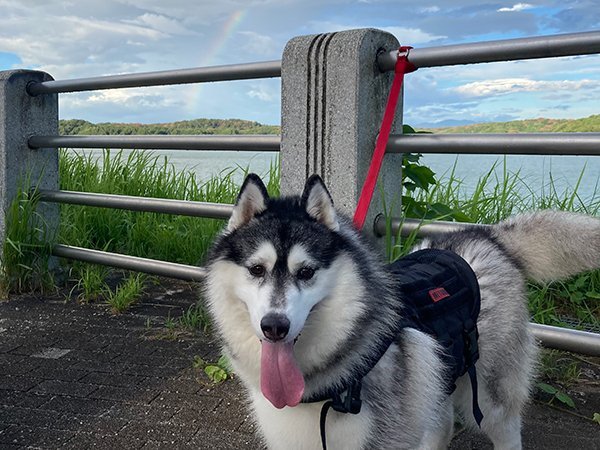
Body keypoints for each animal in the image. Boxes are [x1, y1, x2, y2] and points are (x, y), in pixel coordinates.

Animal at [205, 173, 600, 450]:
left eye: (306, 272)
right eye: (257, 269)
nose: (275, 326)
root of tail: (483, 234)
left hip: (491, 396)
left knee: (504, 427)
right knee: (441, 422)